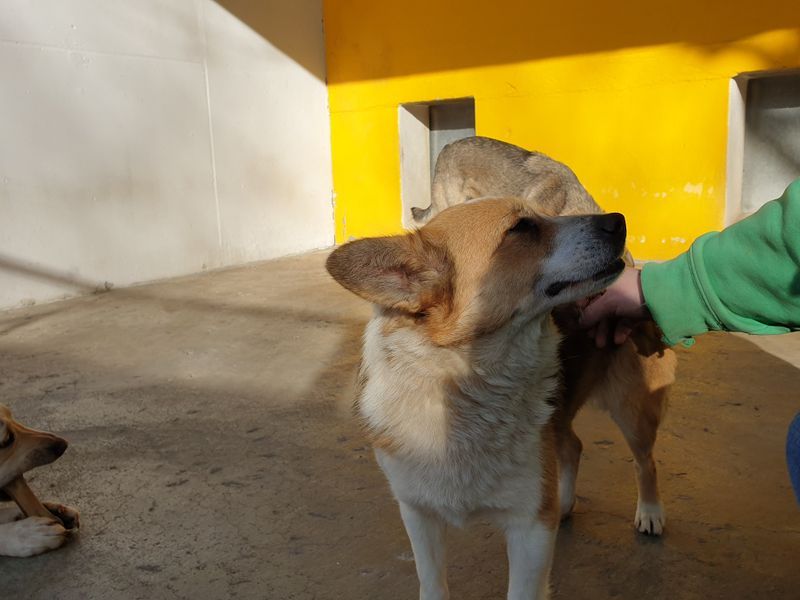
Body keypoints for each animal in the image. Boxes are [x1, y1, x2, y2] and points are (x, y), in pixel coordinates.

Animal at [328, 198, 634, 599]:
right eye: (521, 228)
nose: (619, 221)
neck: (465, 389)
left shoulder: (531, 527)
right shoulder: (418, 513)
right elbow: (432, 586)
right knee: (572, 443)